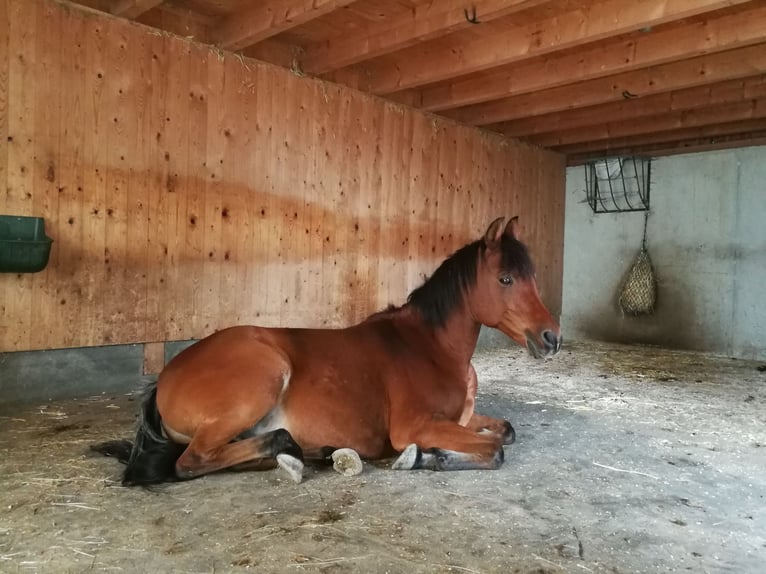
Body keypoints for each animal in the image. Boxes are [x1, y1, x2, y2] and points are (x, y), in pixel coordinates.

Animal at [94, 216, 564, 486]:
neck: (430, 347)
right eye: (505, 279)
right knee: (191, 462)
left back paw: (307, 455)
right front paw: (421, 458)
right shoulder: (417, 425)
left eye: (530, 275)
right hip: (261, 379)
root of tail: (162, 382)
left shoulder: (461, 419)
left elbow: (504, 430)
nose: (551, 338)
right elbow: (494, 449)